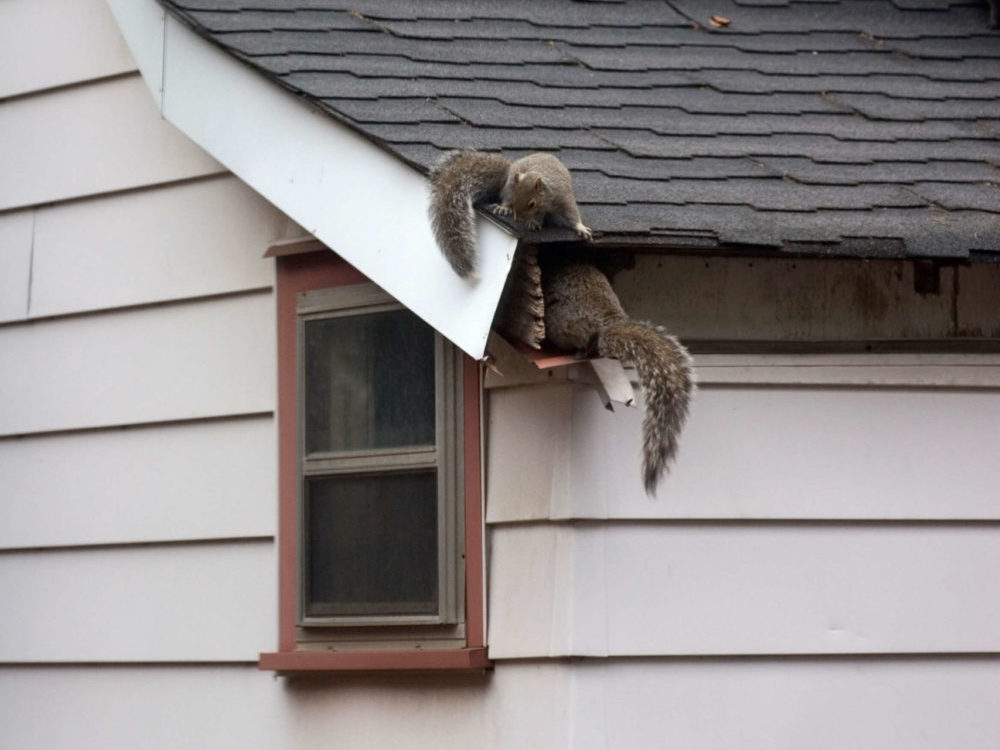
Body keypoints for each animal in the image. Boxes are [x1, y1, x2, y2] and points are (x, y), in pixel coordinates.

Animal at [426, 151, 588, 280]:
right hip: (509, 184)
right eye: (516, 198)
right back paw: (504, 208)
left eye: (532, 203)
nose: (518, 219)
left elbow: (571, 212)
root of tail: (510, 169)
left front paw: (581, 227)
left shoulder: (562, 196)